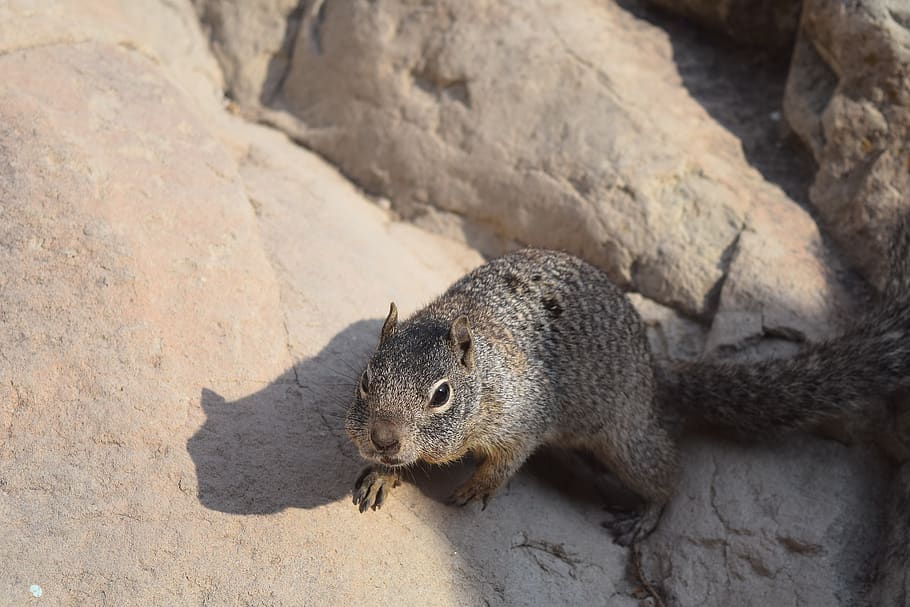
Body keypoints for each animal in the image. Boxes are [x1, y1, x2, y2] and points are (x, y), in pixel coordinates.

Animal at [344, 217, 910, 545]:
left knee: (668, 474)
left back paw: (645, 516)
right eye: (367, 380)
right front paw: (383, 474)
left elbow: (507, 461)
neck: (483, 374)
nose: (383, 438)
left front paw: (477, 487)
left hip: (625, 441)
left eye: (441, 394)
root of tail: (654, 373)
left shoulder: (522, 416)